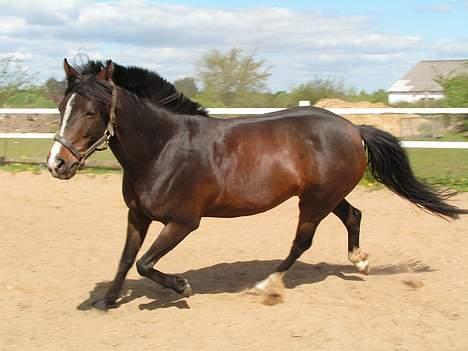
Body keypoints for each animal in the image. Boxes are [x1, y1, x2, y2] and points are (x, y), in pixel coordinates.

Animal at [46, 60, 464, 310]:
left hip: (315, 201)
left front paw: (182, 287)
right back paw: (359, 262)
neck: (163, 148)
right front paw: (108, 300)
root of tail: (353, 128)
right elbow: (126, 258)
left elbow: (146, 263)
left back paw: (267, 285)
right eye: (62, 107)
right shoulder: (138, 215)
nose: (57, 164)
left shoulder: (183, 222)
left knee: (302, 241)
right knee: (353, 216)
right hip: (326, 195)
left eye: (91, 112)